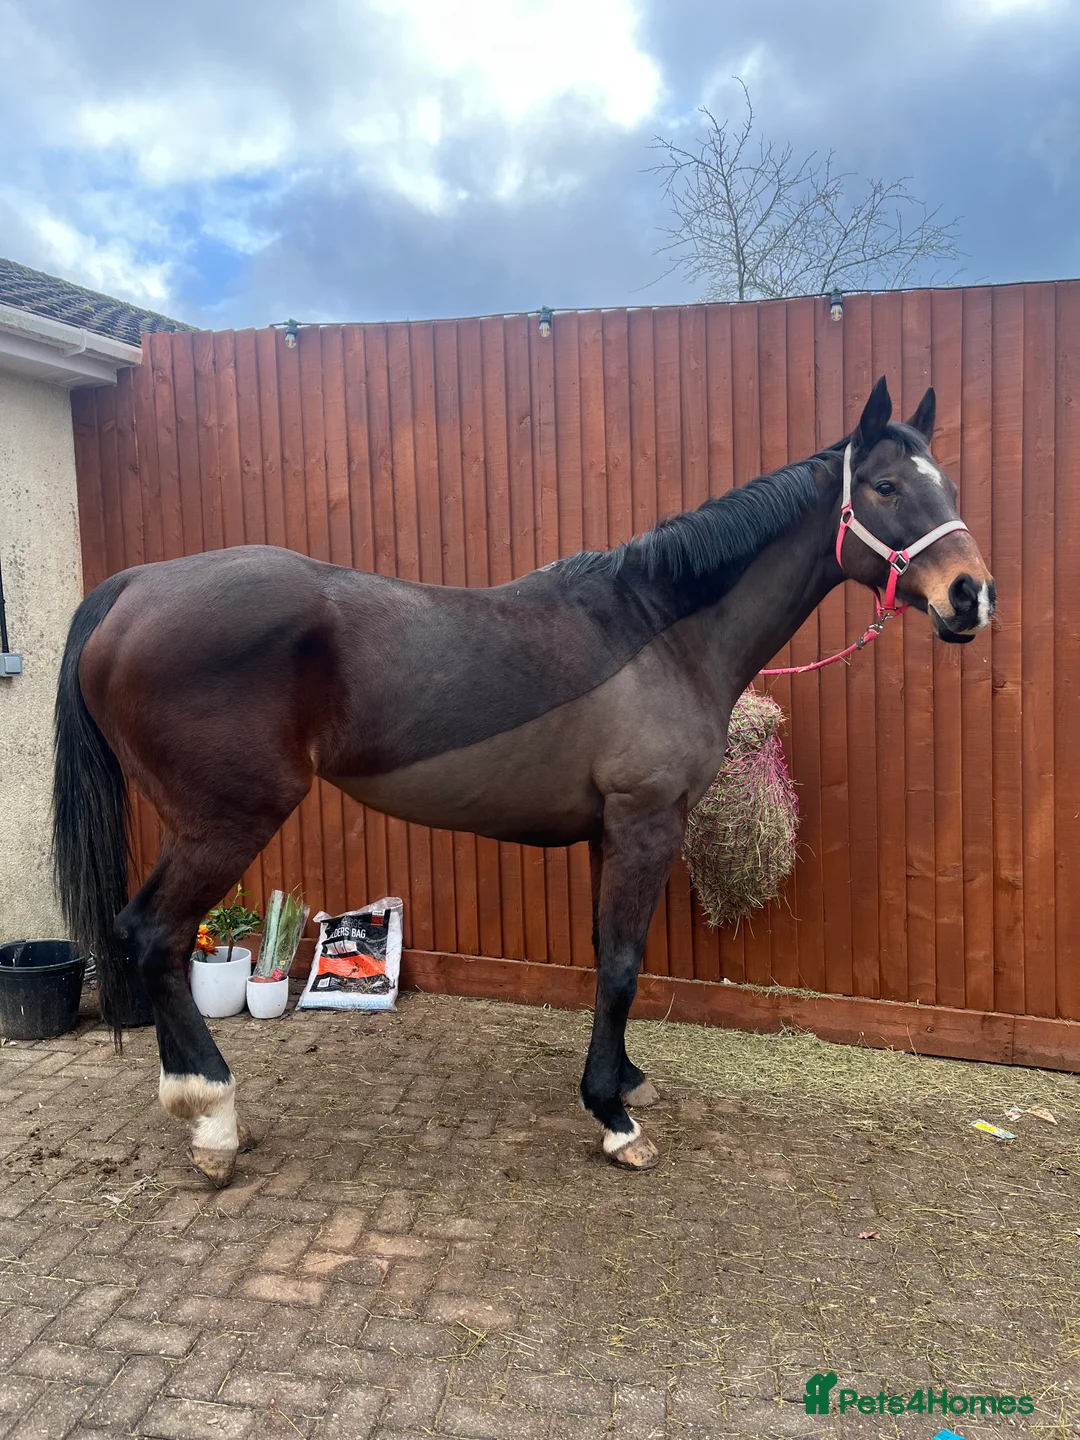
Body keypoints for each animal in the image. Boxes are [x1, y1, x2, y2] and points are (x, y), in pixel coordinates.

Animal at [53, 376, 994, 1187]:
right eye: (883, 486)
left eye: (946, 483)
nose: (971, 597)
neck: (659, 630)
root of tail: (133, 588)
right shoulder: (646, 822)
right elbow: (624, 964)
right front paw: (614, 1121)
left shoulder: (612, 831)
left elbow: (610, 957)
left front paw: (625, 1080)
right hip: (225, 822)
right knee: (154, 935)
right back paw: (212, 1119)